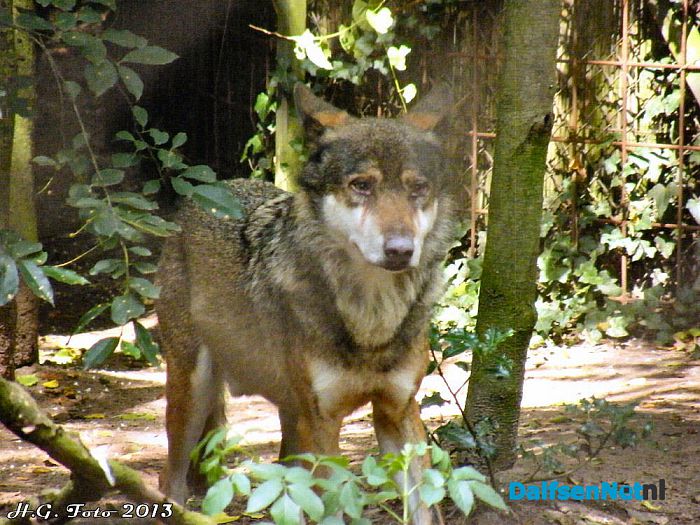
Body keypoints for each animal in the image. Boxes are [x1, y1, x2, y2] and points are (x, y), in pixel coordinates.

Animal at [156, 83, 457, 523]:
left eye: (417, 189)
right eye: (361, 185)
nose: (401, 250)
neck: (370, 321)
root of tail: (206, 191)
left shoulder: (398, 412)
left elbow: (422, 509)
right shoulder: (321, 423)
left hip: (287, 414)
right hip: (193, 393)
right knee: (170, 481)